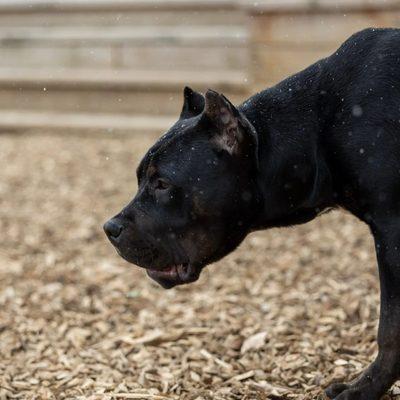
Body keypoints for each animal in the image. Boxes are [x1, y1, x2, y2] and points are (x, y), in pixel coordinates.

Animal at [104, 27, 400, 396]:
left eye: (161, 183)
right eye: (140, 178)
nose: (109, 228)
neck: (317, 131)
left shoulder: (391, 229)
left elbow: (390, 328)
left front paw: (364, 390)